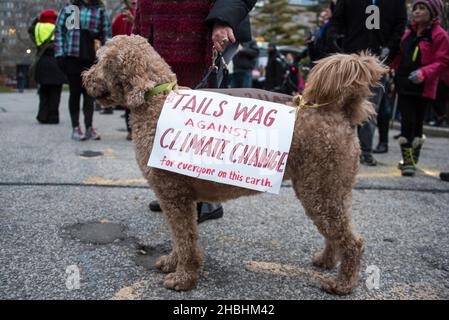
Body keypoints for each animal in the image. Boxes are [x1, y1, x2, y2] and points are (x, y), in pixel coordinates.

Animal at [83, 35, 384, 296]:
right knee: (337, 232)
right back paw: (326, 261)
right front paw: (172, 262)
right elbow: (180, 237)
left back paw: (343, 284)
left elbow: (185, 238)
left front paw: (183, 278)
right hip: (327, 190)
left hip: (321, 190)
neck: (155, 101)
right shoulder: (177, 198)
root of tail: (339, 113)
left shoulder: (174, 195)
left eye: (102, 61)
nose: (84, 77)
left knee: (352, 241)